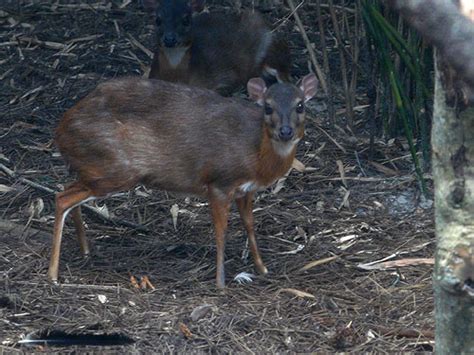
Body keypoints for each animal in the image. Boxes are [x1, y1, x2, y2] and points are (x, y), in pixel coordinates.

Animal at [49, 73, 318, 288]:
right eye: (268, 108)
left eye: (300, 105)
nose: (285, 131)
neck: (255, 153)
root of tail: (61, 130)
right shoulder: (219, 182)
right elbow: (221, 231)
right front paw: (220, 283)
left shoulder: (246, 190)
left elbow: (249, 224)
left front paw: (262, 268)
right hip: (114, 170)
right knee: (62, 197)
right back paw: (52, 273)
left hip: (97, 171)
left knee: (67, 191)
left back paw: (85, 251)